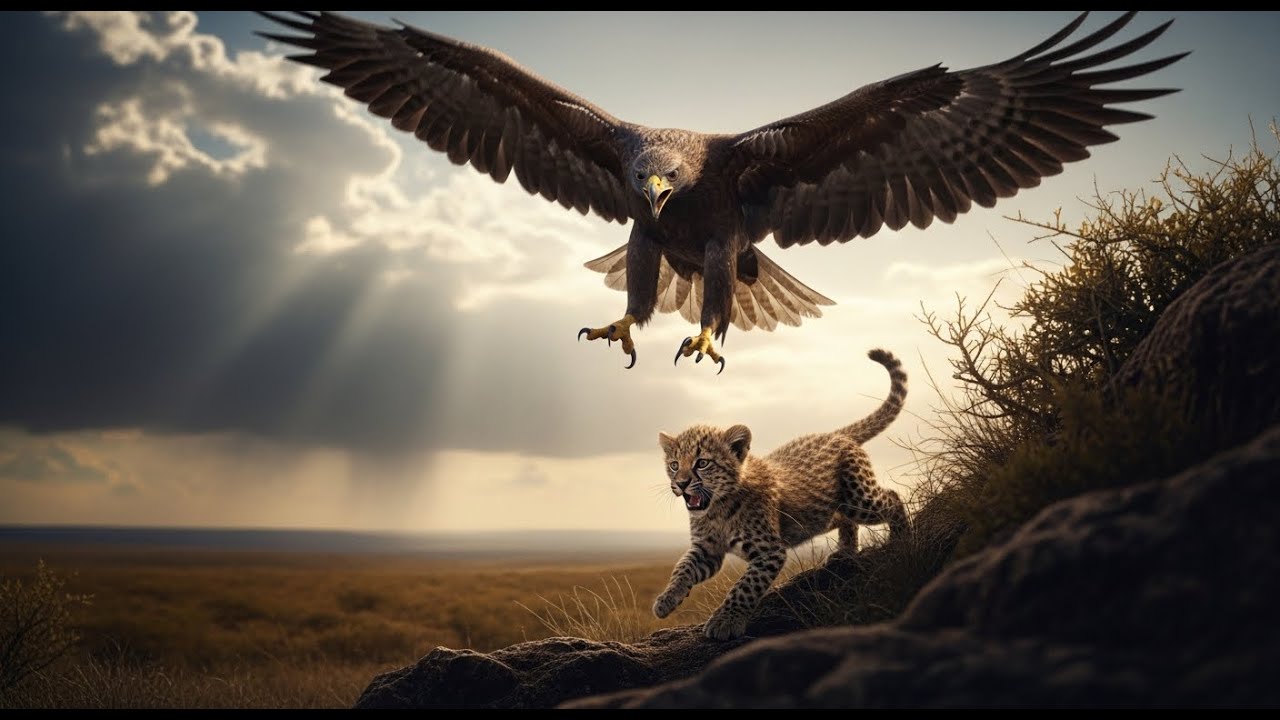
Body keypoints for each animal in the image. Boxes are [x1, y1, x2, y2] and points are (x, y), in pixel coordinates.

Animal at [654, 348, 910, 640]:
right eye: (674, 465)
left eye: (702, 463)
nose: (682, 483)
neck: (717, 510)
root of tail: (837, 434)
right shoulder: (707, 549)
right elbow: (682, 568)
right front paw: (666, 600)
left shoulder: (769, 551)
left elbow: (744, 587)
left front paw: (725, 621)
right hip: (826, 511)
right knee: (844, 519)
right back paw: (845, 553)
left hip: (859, 499)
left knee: (892, 498)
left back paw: (902, 537)